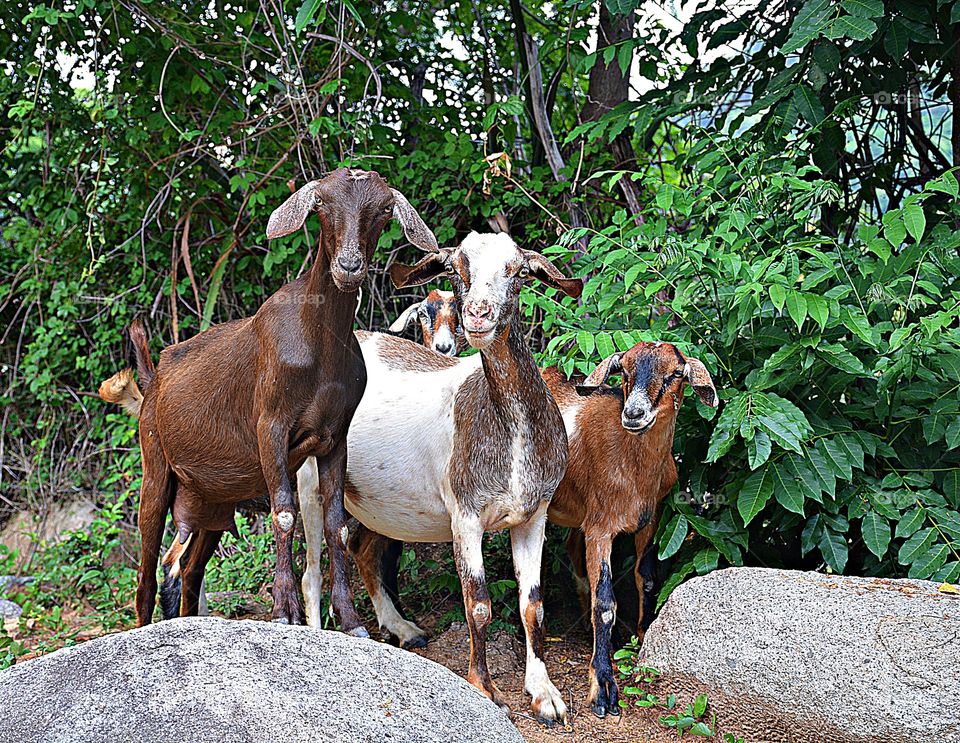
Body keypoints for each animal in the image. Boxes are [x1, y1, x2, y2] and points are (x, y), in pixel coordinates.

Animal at [98, 167, 438, 628]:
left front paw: (351, 620)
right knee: (146, 569)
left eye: (385, 209)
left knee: (189, 569)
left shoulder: (335, 438)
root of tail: (153, 379)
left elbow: (336, 524)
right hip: (155, 466)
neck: (320, 343)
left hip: (209, 504)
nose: (349, 266)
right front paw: (283, 611)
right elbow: (284, 512)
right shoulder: (271, 427)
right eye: (321, 204)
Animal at [300, 231, 580, 720]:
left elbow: (533, 606)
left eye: (519, 270)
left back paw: (402, 628)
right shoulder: (465, 516)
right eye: (456, 268)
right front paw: (486, 689)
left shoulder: (534, 514)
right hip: (307, 480)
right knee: (312, 572)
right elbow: (479, 604)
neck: (509, 429)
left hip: (379, 500)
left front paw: (545, 694)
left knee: (362, 550)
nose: (478, 315)